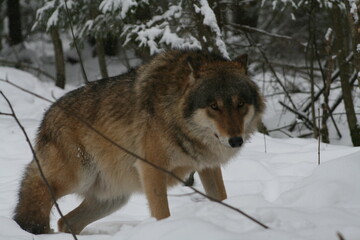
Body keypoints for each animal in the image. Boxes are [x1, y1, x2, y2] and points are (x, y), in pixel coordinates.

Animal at [13, 49, 264, 234]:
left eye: (240, 104)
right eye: (214, 106)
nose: (235, 140)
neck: (174, 112)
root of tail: (47, 115)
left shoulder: (208, 166)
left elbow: (221, 197)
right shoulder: (152, 169)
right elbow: (162, 213)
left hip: (112, 199)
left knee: (65, 221)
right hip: (76, 178)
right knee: (36, 190)